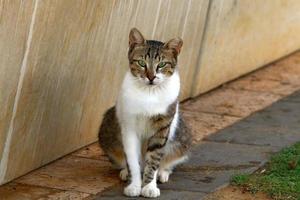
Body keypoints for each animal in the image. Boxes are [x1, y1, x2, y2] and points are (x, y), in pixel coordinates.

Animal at [99, 28, 192, 198]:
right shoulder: (129, 128)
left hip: (182, 138)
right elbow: (132, 160)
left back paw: (163, 173)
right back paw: (124, 172)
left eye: (162, 64)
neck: (149, 93)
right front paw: (134, 185)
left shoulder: (162, 129)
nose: (151, 77)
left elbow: (154, 160)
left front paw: (149, 187)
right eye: (141, 63)